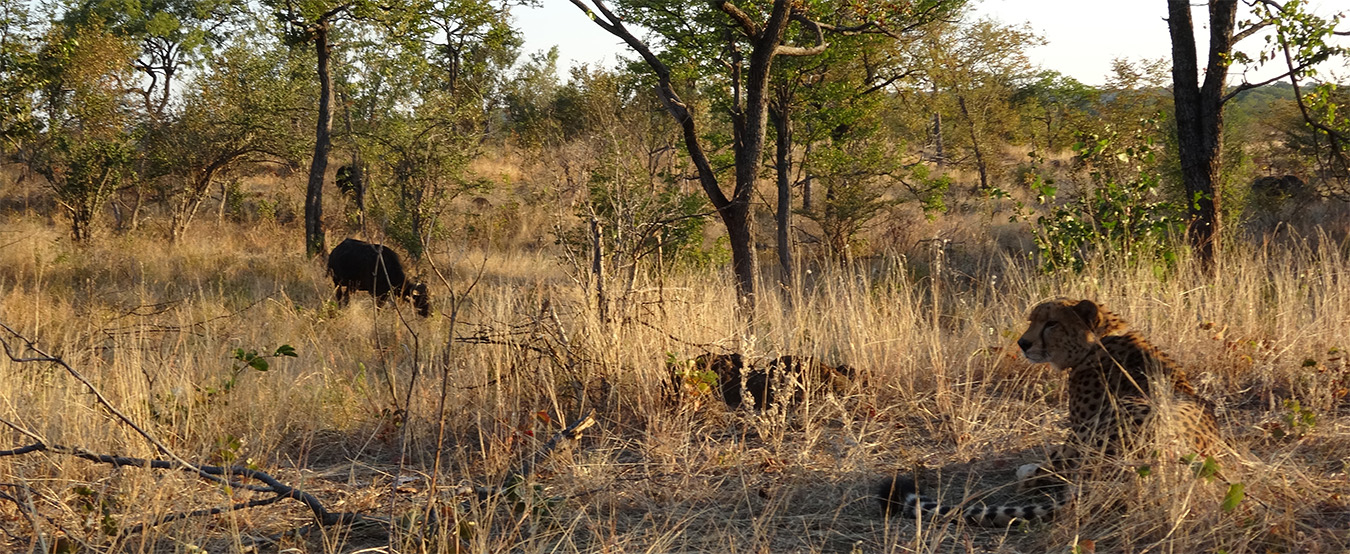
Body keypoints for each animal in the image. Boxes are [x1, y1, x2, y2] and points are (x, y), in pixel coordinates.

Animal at [874, 298, 1225, 524]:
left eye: (1052, 323)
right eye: (1032, 320)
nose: (1023, 343)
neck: (1100, 339)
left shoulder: (1077, 440)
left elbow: (1046, 467)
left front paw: (1027, 468)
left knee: (1040, 480)